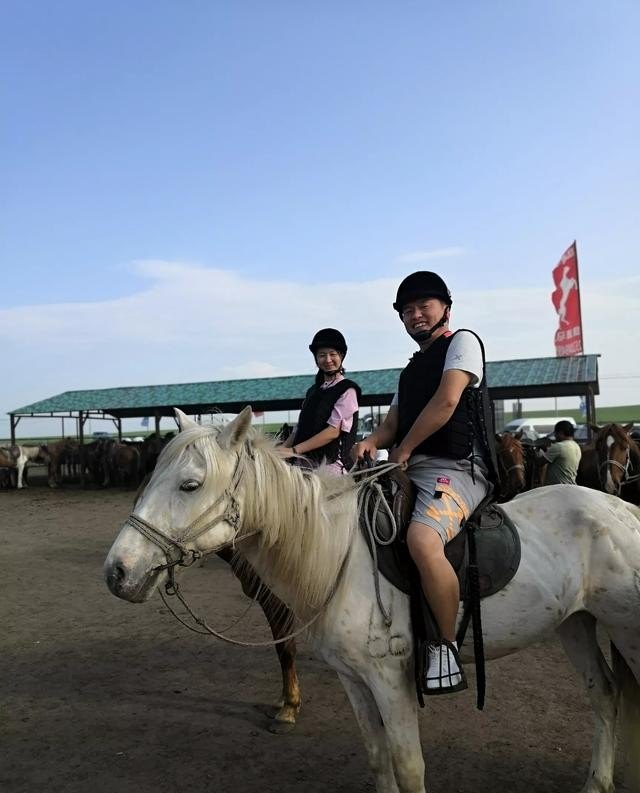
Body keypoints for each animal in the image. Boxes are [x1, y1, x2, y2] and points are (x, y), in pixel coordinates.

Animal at [105, 408, 640, 792]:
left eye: (190, 485)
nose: (117, 572)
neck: (336, 552)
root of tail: (623, 508)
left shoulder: (391, 681)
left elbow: (408, 767)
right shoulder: (354, 680)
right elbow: (380, 761)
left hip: (625, 629)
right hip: (574, 623)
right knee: (604, 694)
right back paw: (596, 783)